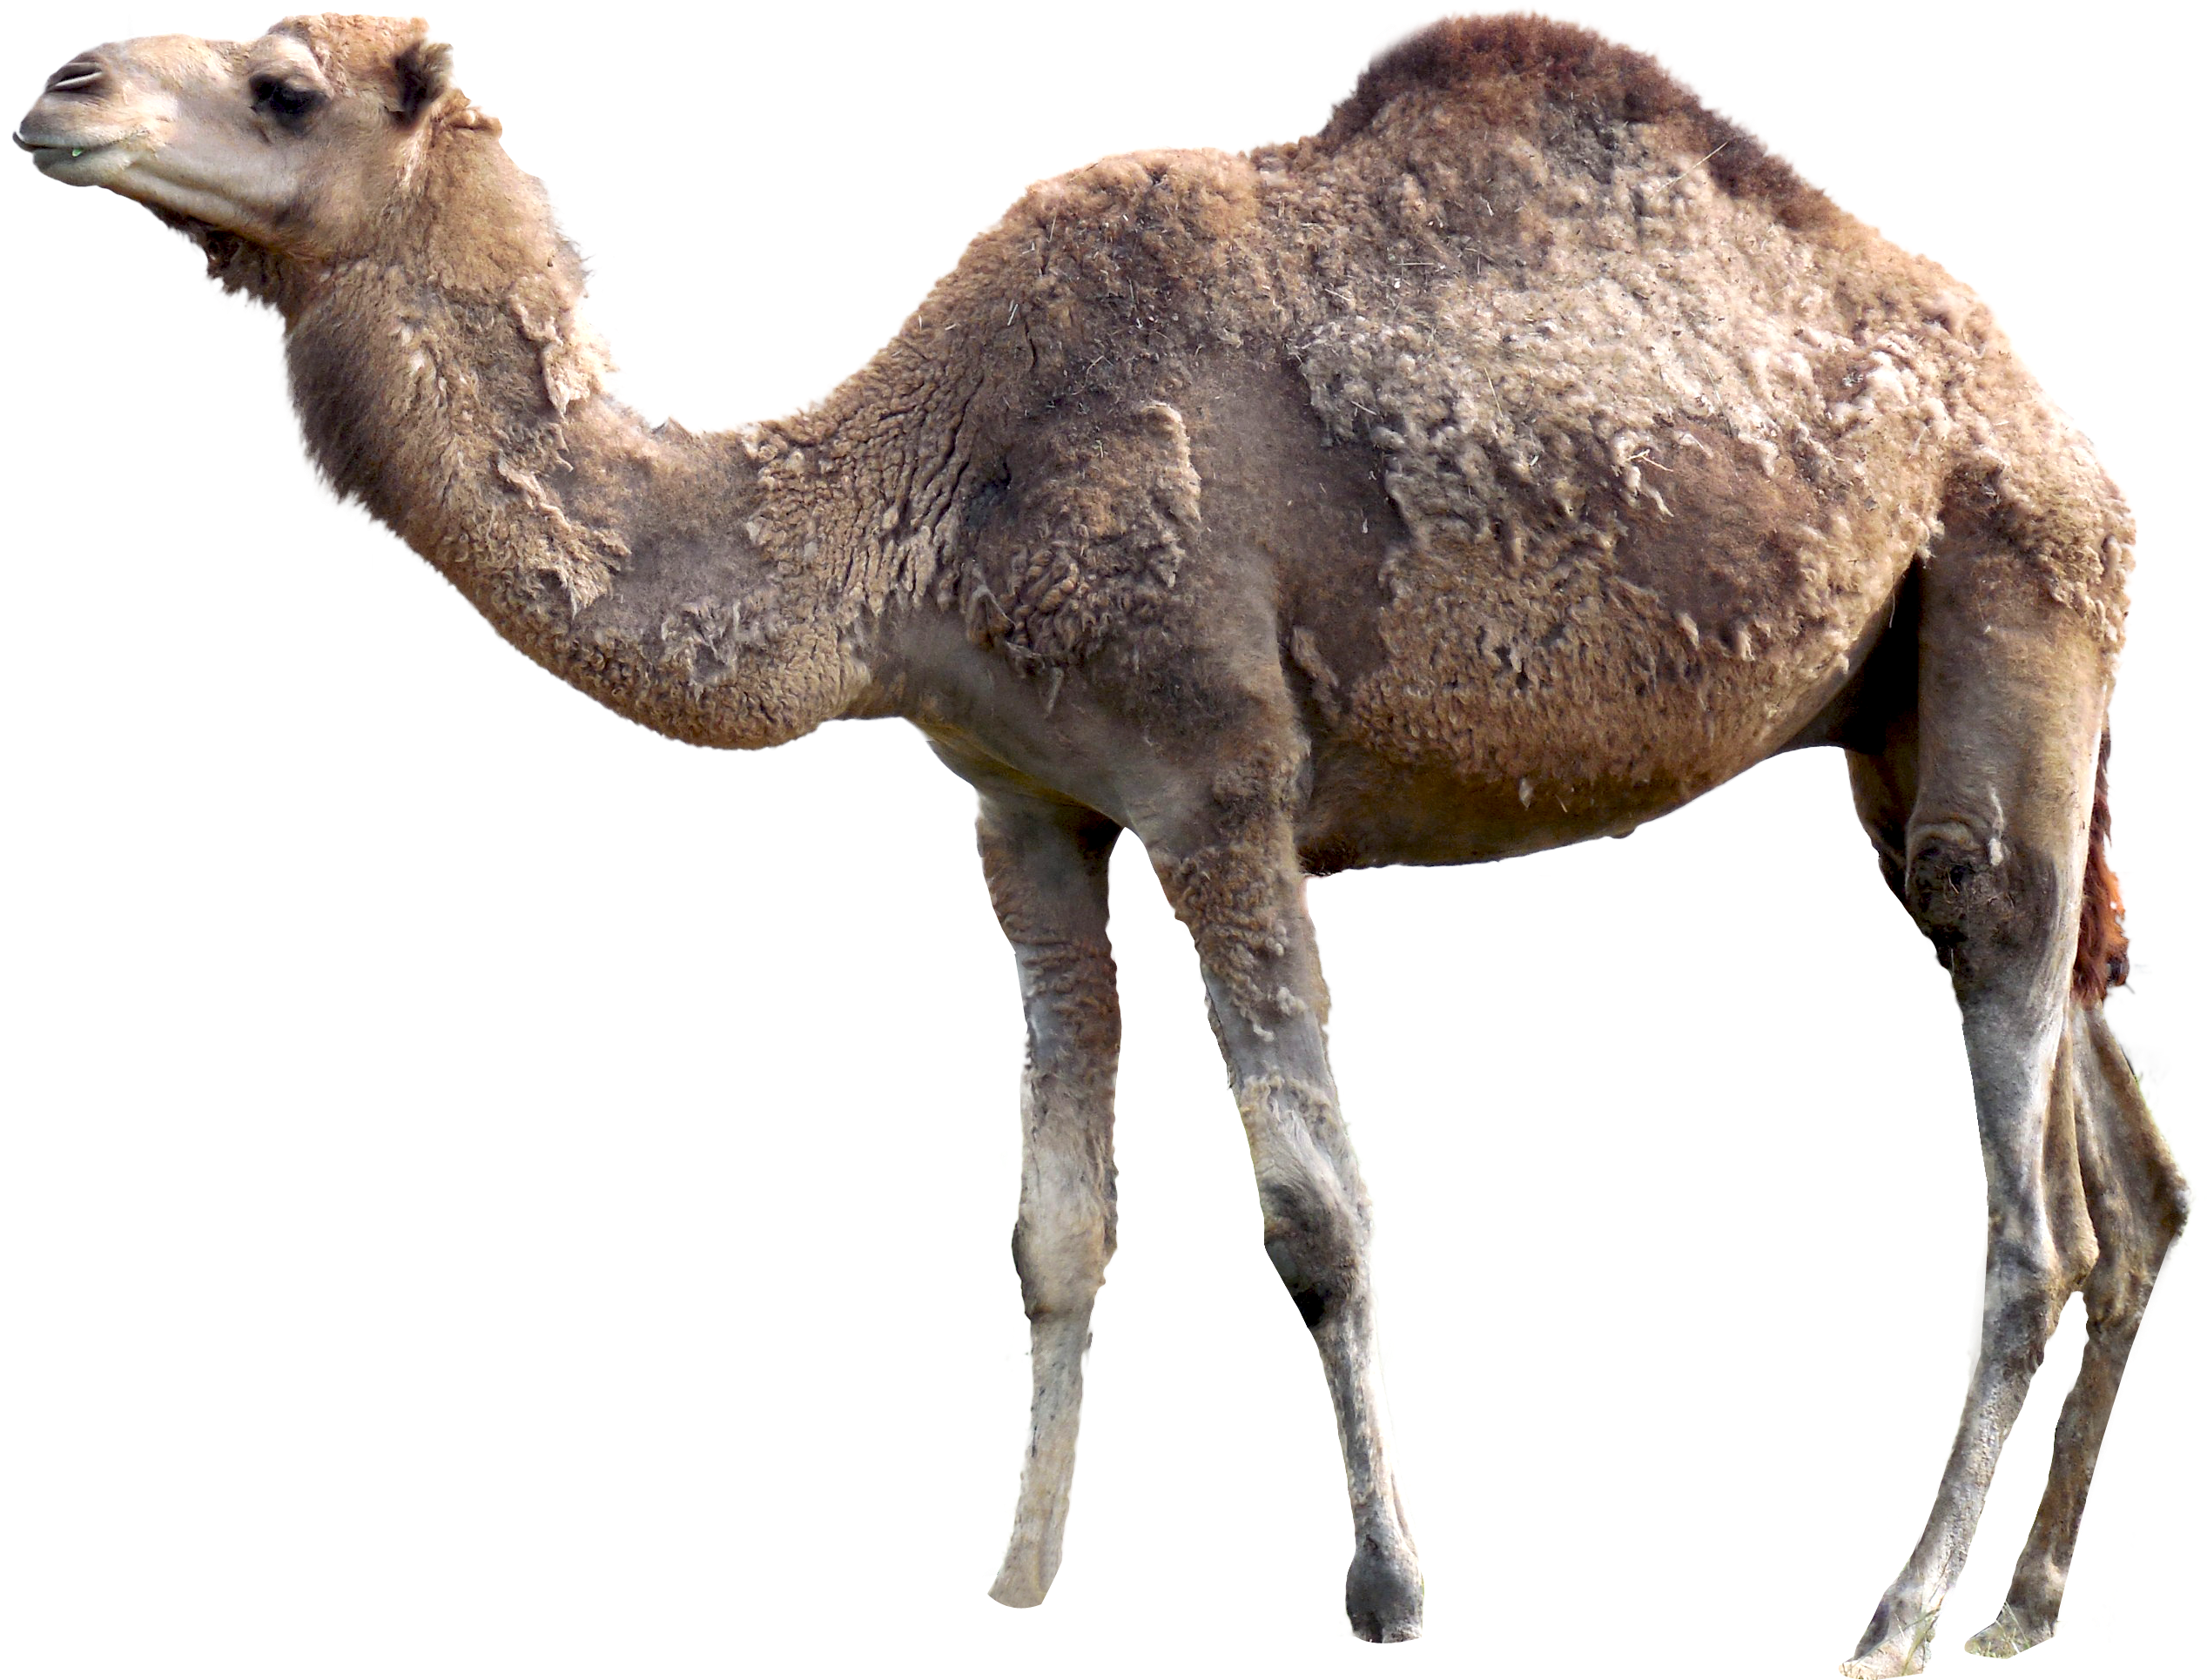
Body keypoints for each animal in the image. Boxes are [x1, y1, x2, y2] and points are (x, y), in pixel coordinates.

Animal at [16, 7, 2189, 1665]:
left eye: (283, 88)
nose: (63, 88)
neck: (906, 495)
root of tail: (2061, 430)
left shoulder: (1219, 781)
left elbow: (1315, 1216)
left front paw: (1386, 1590)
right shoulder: (1023, 804)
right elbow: (1058, 1224)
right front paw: (1021, 1572)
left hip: (2006, 597)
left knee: (2033, 1199)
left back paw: (1898, 1620)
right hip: (1914, 721)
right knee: (2127, 1166)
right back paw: (2024, 1604)